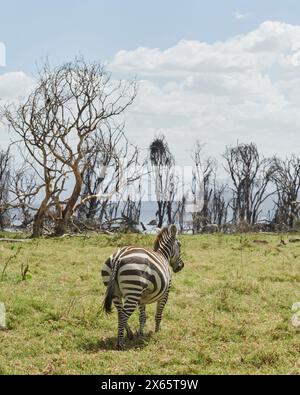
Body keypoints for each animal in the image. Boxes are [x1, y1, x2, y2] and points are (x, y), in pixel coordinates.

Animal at [102, 224, 184, 352]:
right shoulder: (166, 292)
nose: (181, 266)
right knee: (123, 315)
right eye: (179, 245)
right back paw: (120, 343)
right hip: (133, 290)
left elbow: (142, 316)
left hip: (117, 292)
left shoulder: (142, 296)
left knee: (120, 313)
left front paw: (140, 334)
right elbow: (159, 313)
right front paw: (157, 331)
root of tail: (119, 257)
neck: (164, 256)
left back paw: (129, 334)